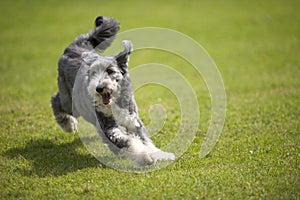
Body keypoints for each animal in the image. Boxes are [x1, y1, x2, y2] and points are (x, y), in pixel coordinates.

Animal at [50, 16, 175, 165]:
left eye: (110, 71)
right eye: (93, 73)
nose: (99, 88)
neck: (114, 103)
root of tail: (75, 46)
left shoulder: (133, 121)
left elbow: (145, 140)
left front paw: (162, 154)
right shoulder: (108, 128)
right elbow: (128, 142)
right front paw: (145, 156)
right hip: (69, 100)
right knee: (55, 99)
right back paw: (68, 124)